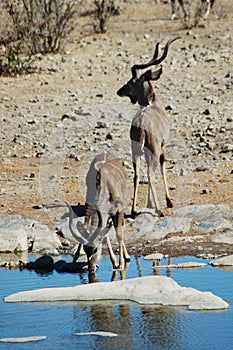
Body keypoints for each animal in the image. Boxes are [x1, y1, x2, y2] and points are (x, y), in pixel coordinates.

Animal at [116, 37, 180, 217]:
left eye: (130, 82)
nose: (119, 91)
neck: (150, 105)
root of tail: (141, 124)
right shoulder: (162, 146)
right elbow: (163, 167)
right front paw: (168, 201)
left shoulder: (145, 150)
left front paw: (149, 203)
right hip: (154, 148)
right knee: (151, 173)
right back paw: (159, 209)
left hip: (136, 150)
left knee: (137, 174)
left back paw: (134, 210)